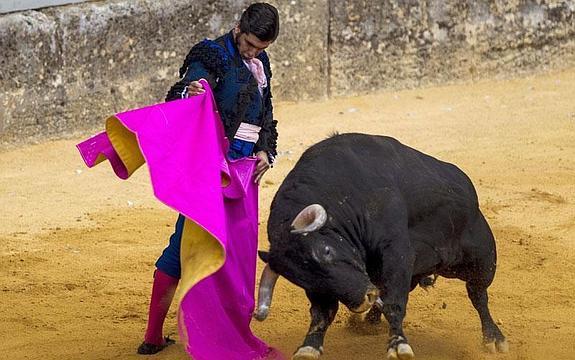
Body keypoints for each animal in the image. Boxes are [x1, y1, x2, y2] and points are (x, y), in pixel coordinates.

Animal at [256, 134, 508, 358]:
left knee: (478, 295)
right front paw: (309, 347)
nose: (363, 299)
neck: (344, 197)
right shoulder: (322, 288)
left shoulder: (397, 254)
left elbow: (394, 303)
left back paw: (494, 338)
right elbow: (322, 314)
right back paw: (369, 321)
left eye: (326, 251)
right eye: (300, 280)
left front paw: (398, 345)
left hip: (481, 259)